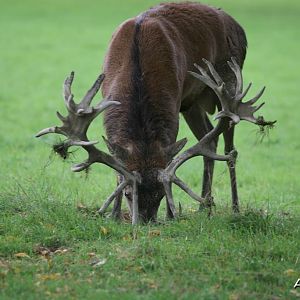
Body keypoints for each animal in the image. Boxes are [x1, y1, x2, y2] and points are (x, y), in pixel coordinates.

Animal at [35, 1, 274, 223]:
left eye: (161, 194)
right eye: (129, 193)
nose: (145, 222)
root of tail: (239, 27)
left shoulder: (173, 106)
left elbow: (170, 159)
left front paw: (170, 215)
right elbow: (117, 166)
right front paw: (113, 215)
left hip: (229, 83)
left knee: (230, 147)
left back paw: (235, 208)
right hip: (192, 102)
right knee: (209, 138)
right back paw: (204, 206)